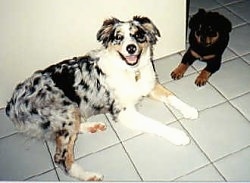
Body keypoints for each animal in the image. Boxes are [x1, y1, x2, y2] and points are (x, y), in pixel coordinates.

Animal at [5, 16, 197, 182]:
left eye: (138, 35)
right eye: (119, 37)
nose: (131, 48)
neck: (130, 71)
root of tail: (12, 104)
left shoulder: (150, 85)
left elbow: (172, 96)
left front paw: (189, 110)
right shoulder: (123, 112)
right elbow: (154, 123)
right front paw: (178, 135)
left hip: (71, 112)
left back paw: (93, 126)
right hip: (66, 110)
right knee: (61, 157)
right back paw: (89, 175)